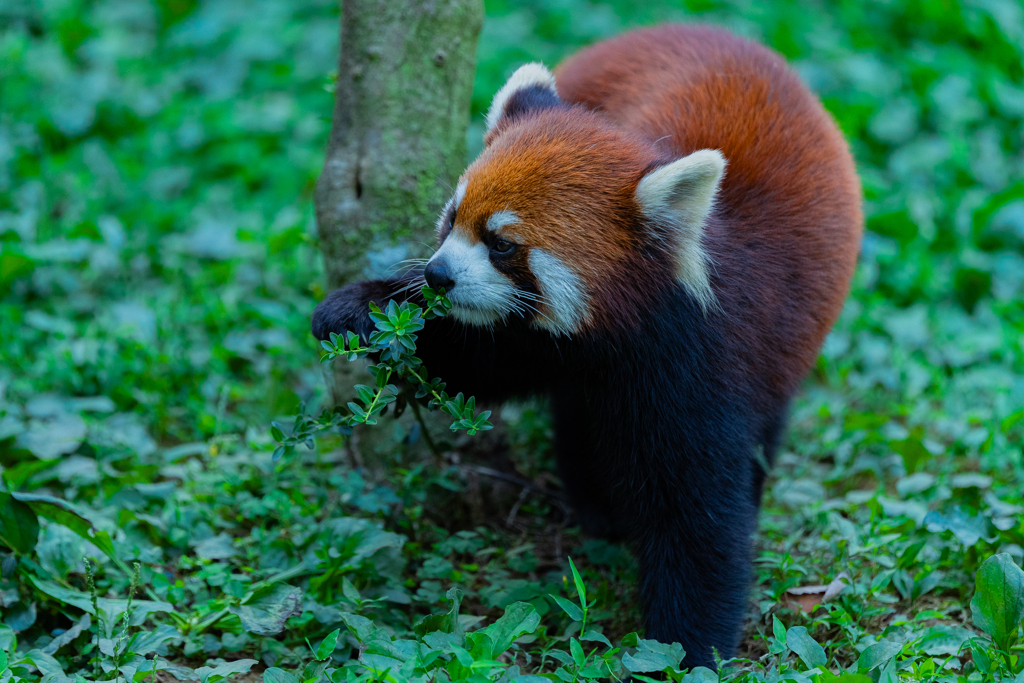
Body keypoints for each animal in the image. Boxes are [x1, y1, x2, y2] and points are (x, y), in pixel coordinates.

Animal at [315, 22, 860, 667]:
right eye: (452, 219)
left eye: (502, 244)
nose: (437, 276)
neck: (604, 338)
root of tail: (698, 25)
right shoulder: (536, 342)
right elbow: (475, 363)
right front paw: (358, 310)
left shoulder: (703, 361)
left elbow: (698, 516)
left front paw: (684, 653)